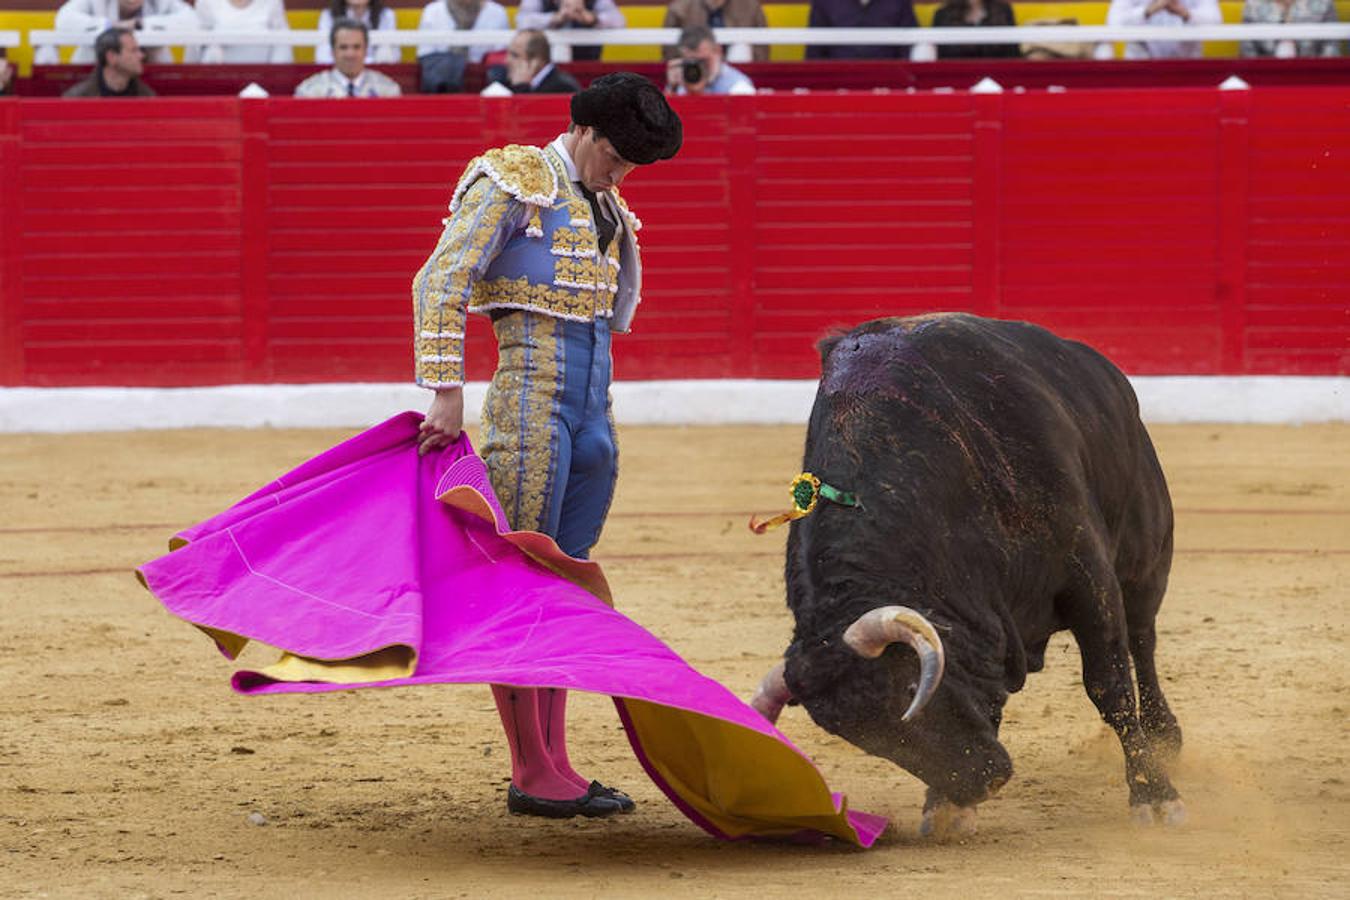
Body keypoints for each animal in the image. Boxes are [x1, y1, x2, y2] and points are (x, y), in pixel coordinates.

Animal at [756, 315, 1188, 836]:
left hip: (1146, 559)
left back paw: (1165, 738)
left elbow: (1110, 686)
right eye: (864, 740)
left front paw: (1155, 795)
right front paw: (944, 807)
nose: (983, 782)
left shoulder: (1088, 574)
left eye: (909, 691)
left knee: (1143, 642)